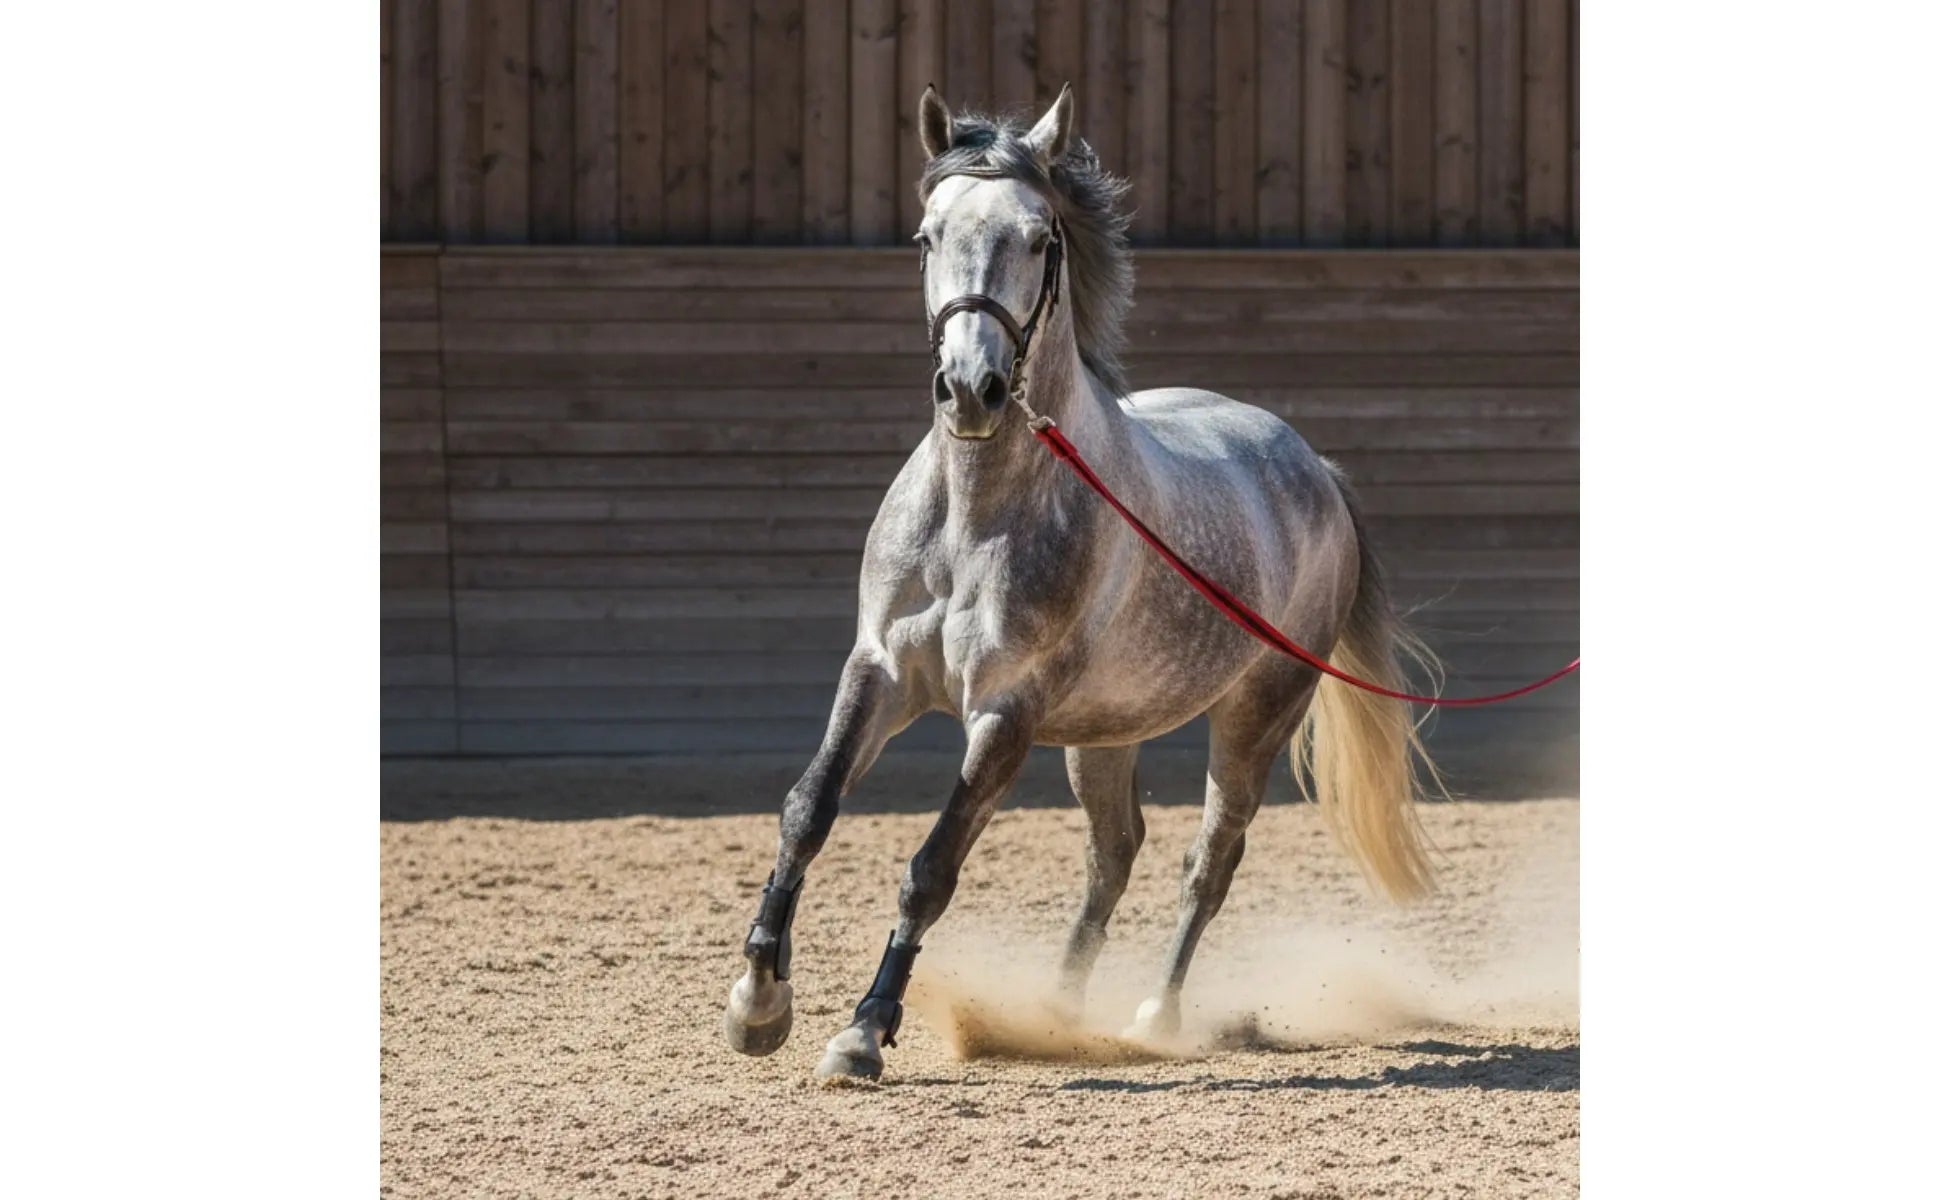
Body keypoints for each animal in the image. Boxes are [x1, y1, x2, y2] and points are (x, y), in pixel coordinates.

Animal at [723, 84, 1444, 1083]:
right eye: (925, 236)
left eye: (1038, 238)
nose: (972, 389)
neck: (976, 517)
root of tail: (1315, 469)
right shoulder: (879, 673)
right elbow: (807, 811)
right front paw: (757, 1004)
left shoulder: (1007, 715)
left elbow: (931, 867)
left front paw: (864, 1032)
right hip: (1105, 733)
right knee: (1115, 852)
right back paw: (1059, 1015)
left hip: (1258, 713)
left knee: (1207, 862)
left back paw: (1153, 1017)